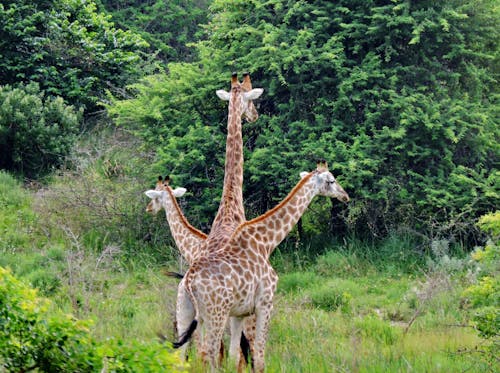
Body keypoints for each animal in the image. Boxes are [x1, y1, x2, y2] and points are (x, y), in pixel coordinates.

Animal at [174, 161, 350, 370]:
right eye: (331, 180)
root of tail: (189, 282)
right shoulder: (265, 303)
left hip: (185, 311)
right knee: (209, 353)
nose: (345, 196)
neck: (267, 242)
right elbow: (259, 357)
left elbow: (235, 356)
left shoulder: (239, 312)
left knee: (183, 354)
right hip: (215, 314)